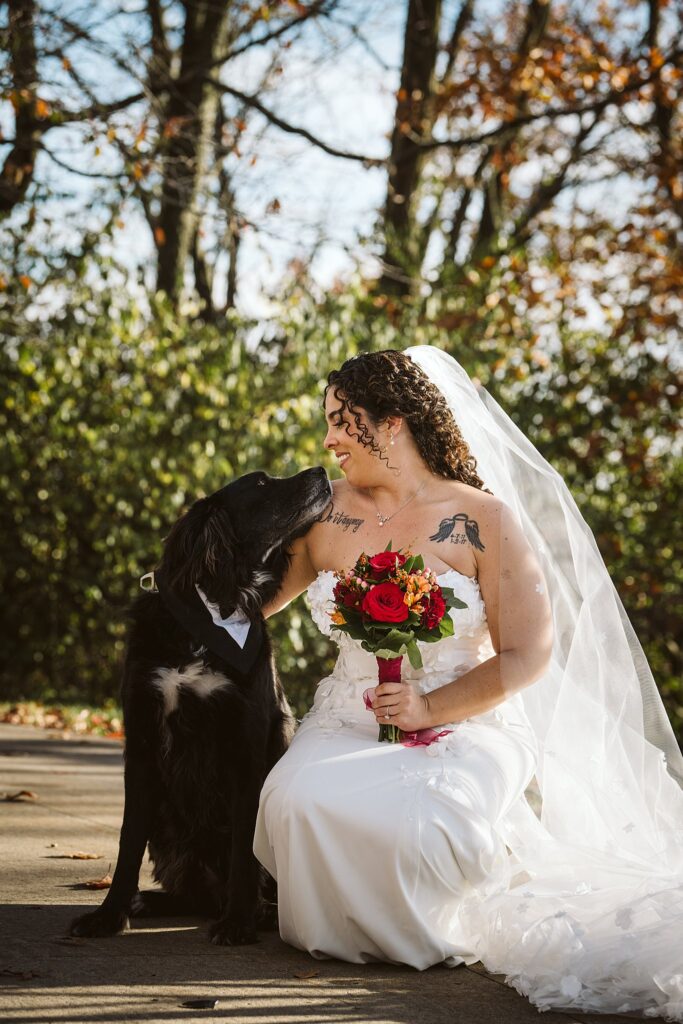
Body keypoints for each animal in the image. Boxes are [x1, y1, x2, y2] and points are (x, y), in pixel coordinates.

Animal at [70, 468, 331, 946]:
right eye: (260, 484)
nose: (322, 471)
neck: (209, 619)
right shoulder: (142, 740)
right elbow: (127, 839)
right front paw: (109, 915)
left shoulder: (247, 746)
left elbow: (245, 845)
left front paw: (238, 921)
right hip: (168, 824)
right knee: (190, 891)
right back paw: (151, 902)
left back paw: (257, 912)